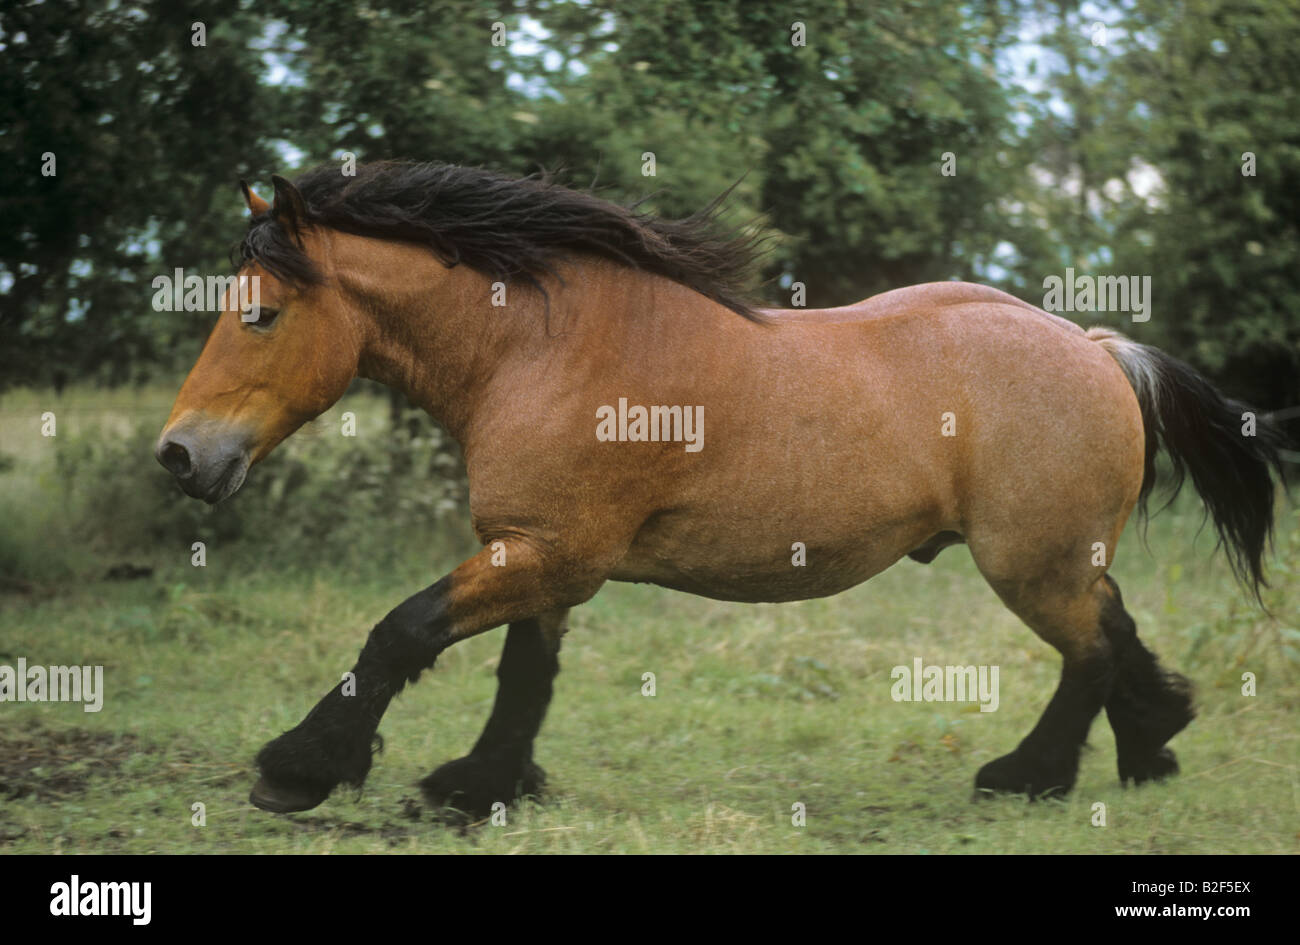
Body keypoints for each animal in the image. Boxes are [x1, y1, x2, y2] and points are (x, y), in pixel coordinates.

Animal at [155, 160, 1289, 818]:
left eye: (259, 315)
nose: (179, 456)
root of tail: (1096, 347)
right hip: (1058, 558)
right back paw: (1151, 745)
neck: (541, 350)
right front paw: (483, 786)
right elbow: (524, 676)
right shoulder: (544, 557)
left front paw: (298, 768)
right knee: (1114, 629)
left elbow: (399, 633)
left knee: (1088, 651)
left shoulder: (544, 553)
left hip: (1029, 564)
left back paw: (1028, 777)